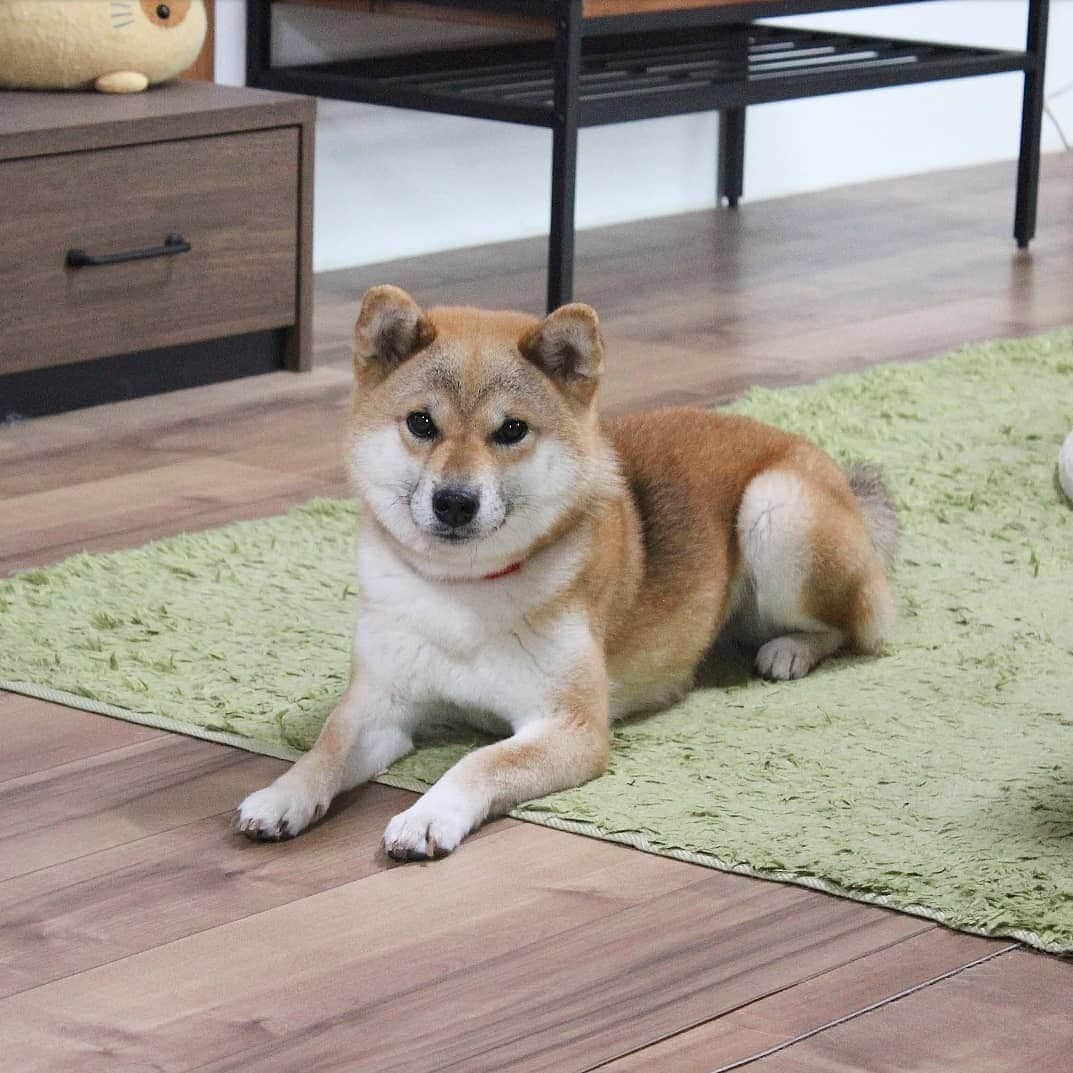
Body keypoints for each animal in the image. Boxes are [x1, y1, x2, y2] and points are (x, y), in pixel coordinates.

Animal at [234, 283, 897, 854]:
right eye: (421, 423)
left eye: (511, 430)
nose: (454, 502)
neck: (463, 588)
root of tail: (823, 461)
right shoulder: (380, 706)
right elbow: (325, 749)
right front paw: (283, 795)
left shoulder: (570, 727)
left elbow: (479, 760)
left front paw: (428, 814)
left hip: (774, 509)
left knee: (854, 623)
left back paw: (790, 649)